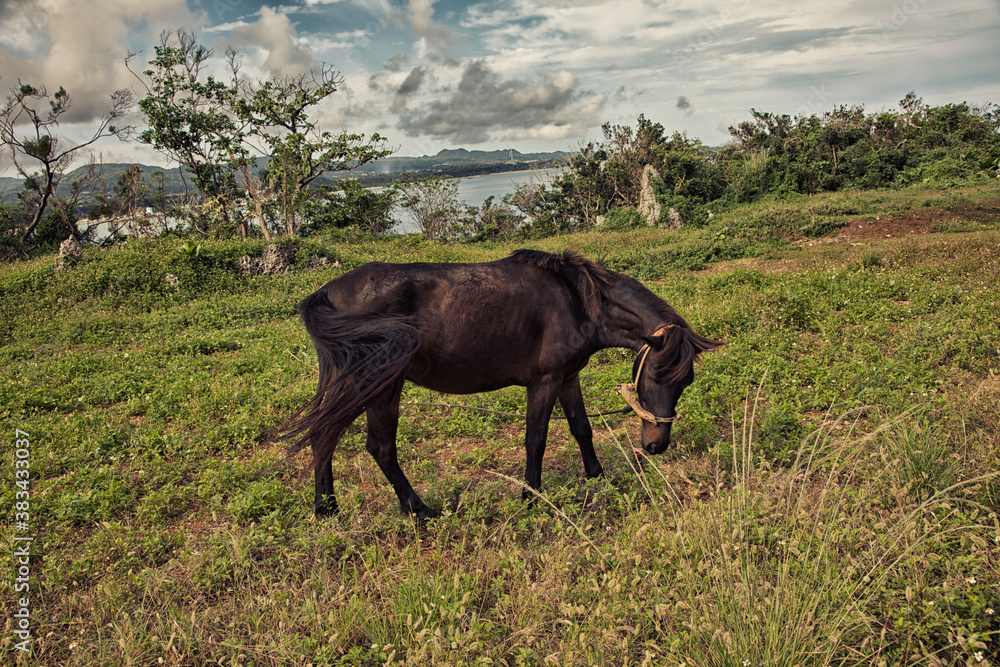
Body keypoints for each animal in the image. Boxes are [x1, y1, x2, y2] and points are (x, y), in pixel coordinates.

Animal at [282, 248, 720, 520]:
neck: (578, 301)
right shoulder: (544, 381)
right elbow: (536, 439)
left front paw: (597, 475)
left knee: (325, 435)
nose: (656, 446)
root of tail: (326, 293)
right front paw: (532, 496)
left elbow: (582, 428)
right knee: (377, 446)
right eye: (657, 376)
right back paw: (417, 509)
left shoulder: (568, 377)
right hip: (379, 386)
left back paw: (328, 507)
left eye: (686, 382)